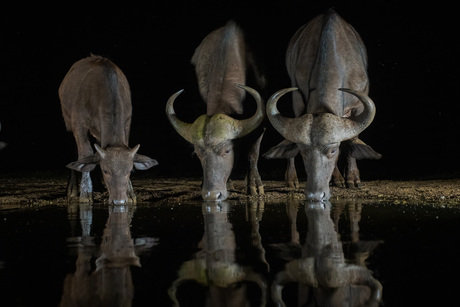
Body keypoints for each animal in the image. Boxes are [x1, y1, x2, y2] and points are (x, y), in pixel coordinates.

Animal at [59, 56, 158, 205]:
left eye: (130, 171)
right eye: (105, 171)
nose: (119, 201)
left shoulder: (127, 122)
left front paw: (130, 193)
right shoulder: (79, 125)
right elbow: (85, 155)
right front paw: (85, 192)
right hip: (69, 126)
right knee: (75, 153)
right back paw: (73, 190)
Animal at [165, 19, 266, 202]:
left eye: (227, 150)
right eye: (198, 154)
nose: (212, 195)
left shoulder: (261, 126)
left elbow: (253, 153)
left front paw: (255, 186)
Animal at [264, 10, 380, 202]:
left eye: (333, 150)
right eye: (302, 151)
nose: (315, 194)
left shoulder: (359, 105)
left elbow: (352, 139)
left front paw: (353, 179)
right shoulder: (298, 99)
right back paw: (295, 179)